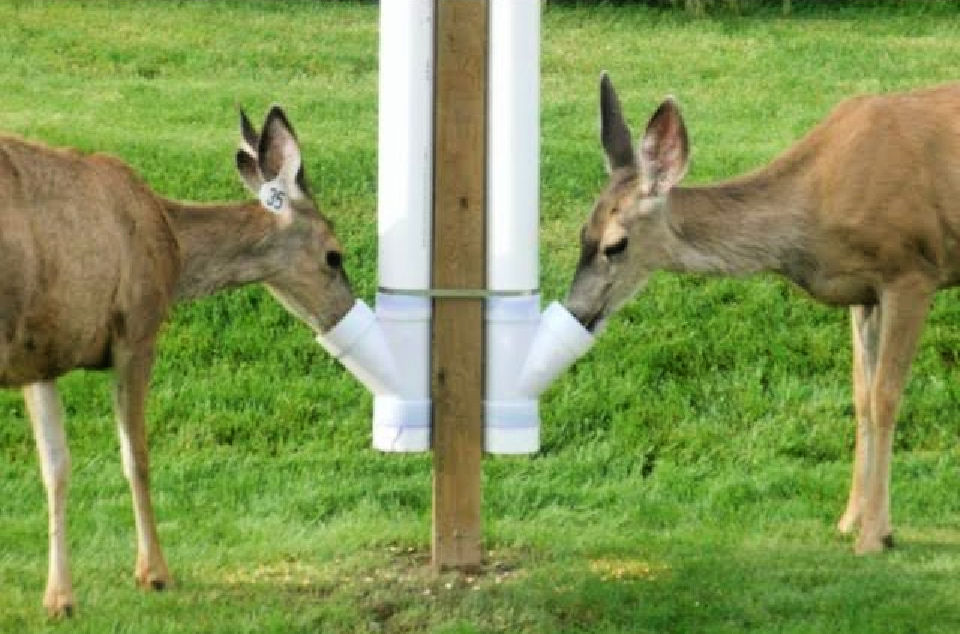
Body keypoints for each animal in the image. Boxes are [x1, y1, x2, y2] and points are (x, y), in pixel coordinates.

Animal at [0, 106, 354, 617]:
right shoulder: (137, 329)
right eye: (334, 255)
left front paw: (59, 598)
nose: (345, 311)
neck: (173, 242)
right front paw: (155, 573)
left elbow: (55, 468)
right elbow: (137, 457)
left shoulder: (41, 355)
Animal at [565, 73, 960, 556]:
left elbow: (886, 397)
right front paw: (851, 520)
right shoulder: (861, 292)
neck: (813, 212)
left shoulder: (911, 271)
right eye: (582, 234)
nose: (576, 310)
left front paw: (873, 536)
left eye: (616, 245)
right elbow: (862, 396)